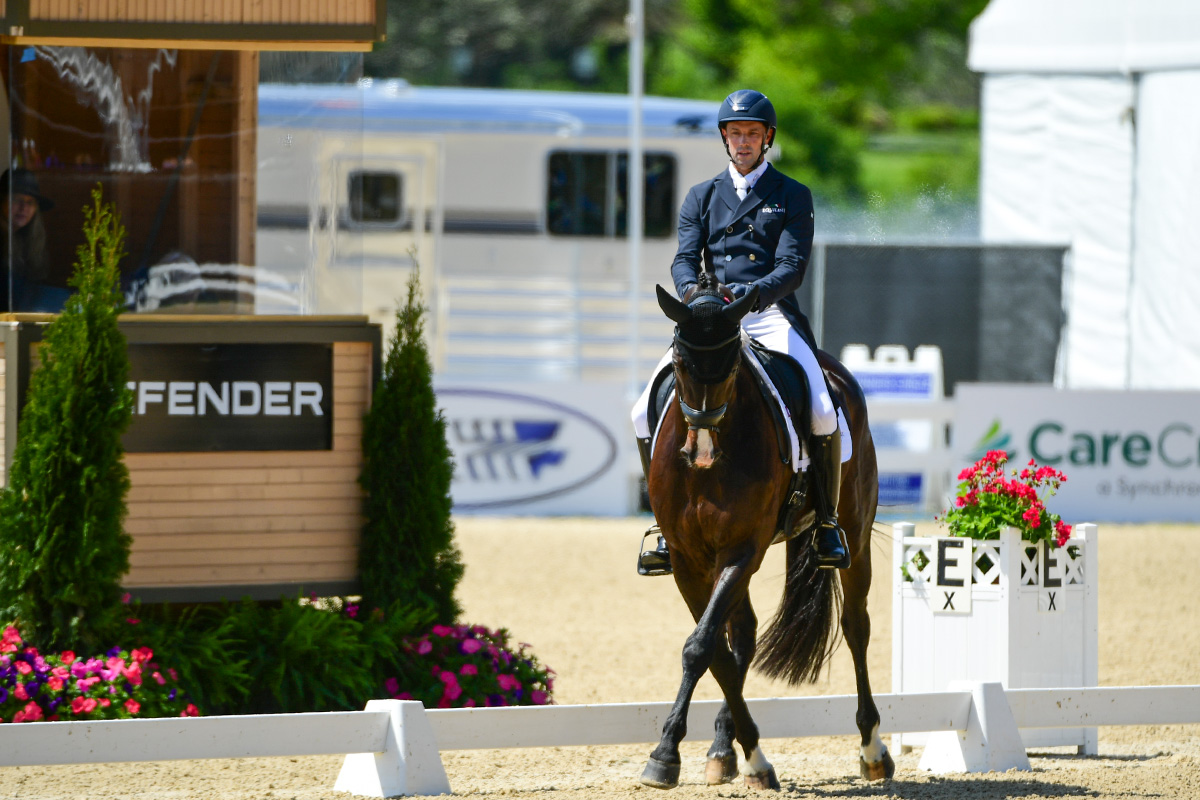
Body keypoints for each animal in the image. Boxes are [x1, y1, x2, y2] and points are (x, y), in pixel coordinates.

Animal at [640, 274, 894, 790]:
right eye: (679, 362)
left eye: (733, 363)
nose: (700, 453)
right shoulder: (689, 559)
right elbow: (713, 650)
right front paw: (732, 751)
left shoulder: (743, 548)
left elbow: (700, 647)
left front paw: (666, 754)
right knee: (743, 634)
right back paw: (723, 749)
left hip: (854, 535)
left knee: (855, 626)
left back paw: (872, 748)